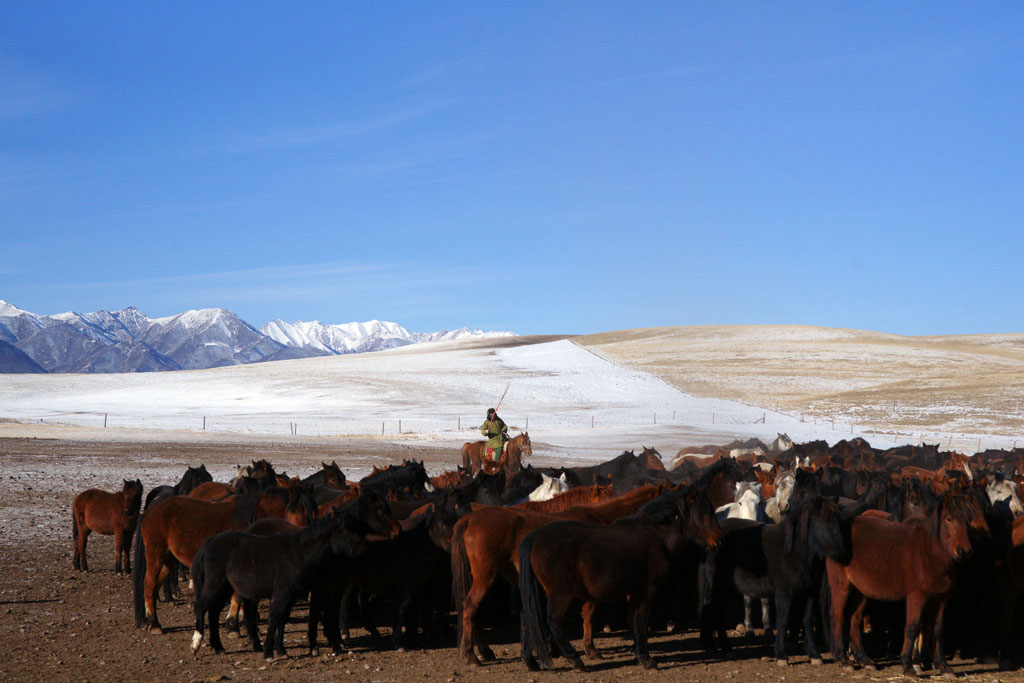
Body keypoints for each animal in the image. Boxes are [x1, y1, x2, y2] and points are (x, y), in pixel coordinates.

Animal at [133, 489, 315, 634]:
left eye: (310, 512)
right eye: (293, 511)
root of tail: (150, 510)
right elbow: (238, 596)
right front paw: (234, 626)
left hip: (168, 558)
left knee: (155, 585)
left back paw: (151, 621)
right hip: (156, 553)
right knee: (149, 584)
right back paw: (155, 624)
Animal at [452, 483, 667, 663]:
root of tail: (470, 518)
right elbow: (587, 614)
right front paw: (590, 649)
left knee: (476, 611)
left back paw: (484, 651)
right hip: (485, 577)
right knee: (470, 607)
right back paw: (470, 655)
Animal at [520, 489, 720, 671]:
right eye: (702, 514)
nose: (717, 541)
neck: (657, 536)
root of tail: (535, 536)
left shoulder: (635, 591)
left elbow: (633, 621)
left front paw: (638, 654)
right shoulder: (648, 590)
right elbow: (641, 620)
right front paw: (647, 659)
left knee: (529, 621)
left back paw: (531, 662)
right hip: (560, 595)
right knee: (554, 622)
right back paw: (576, 661)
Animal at [827, 493, 987, 675]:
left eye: (968, 520)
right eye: (949, 518)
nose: (964, 551)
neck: (930, 551)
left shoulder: (941, 597)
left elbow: (938, 629)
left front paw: (943, 666)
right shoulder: (916, 596)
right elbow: (912, 628)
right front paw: (908, 666)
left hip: (860, 591)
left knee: (854, 619)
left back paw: (864, 659)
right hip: (841, 585)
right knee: (837, 616)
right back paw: (843, 660)